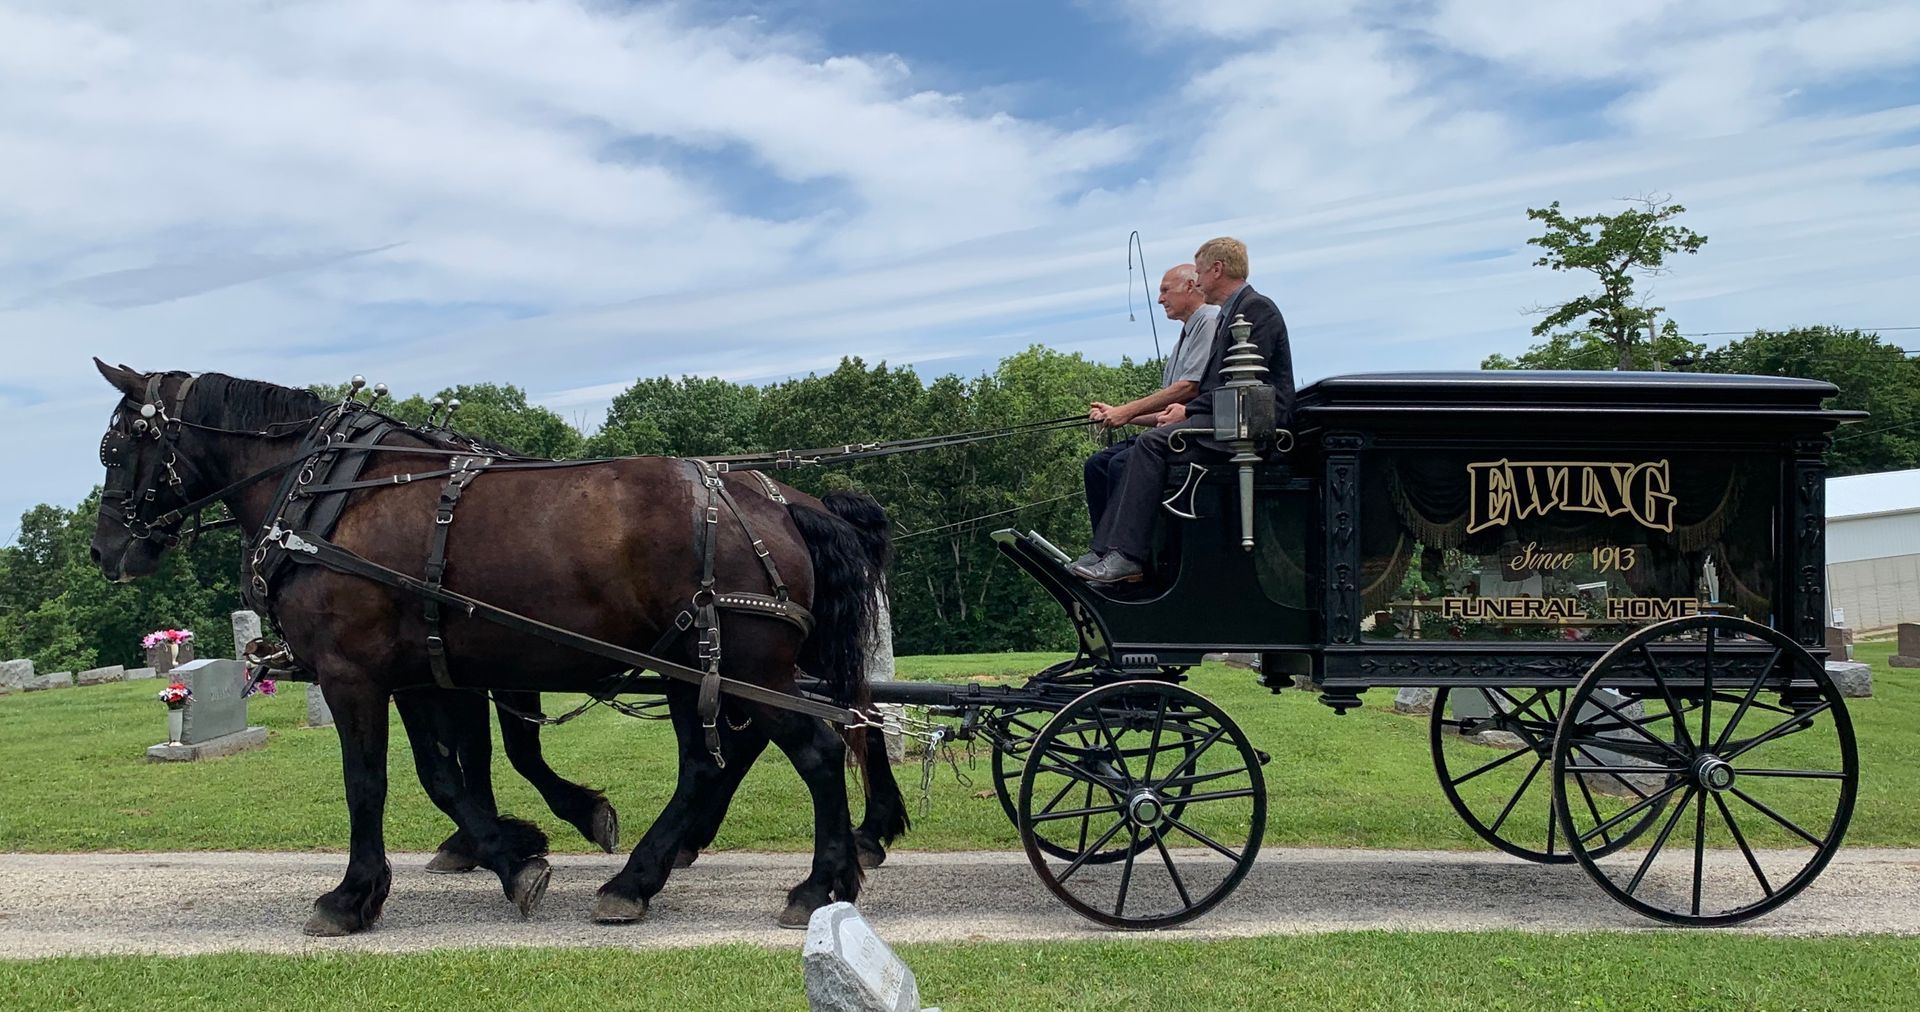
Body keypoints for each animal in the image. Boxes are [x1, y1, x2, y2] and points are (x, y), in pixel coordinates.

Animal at [88, 362, 906, 934]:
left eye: (114, 448)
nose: (106, 551)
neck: (325, 493)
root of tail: (776, 503)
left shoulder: (357, 676)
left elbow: (372, 783)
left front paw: (353, 896)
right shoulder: (425, 674)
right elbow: (450, 775)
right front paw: (514, 853)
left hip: (741, 666)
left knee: (815, 749)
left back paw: (814, 882)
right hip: (703, 670)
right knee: (723, 761)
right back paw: (643, 879)